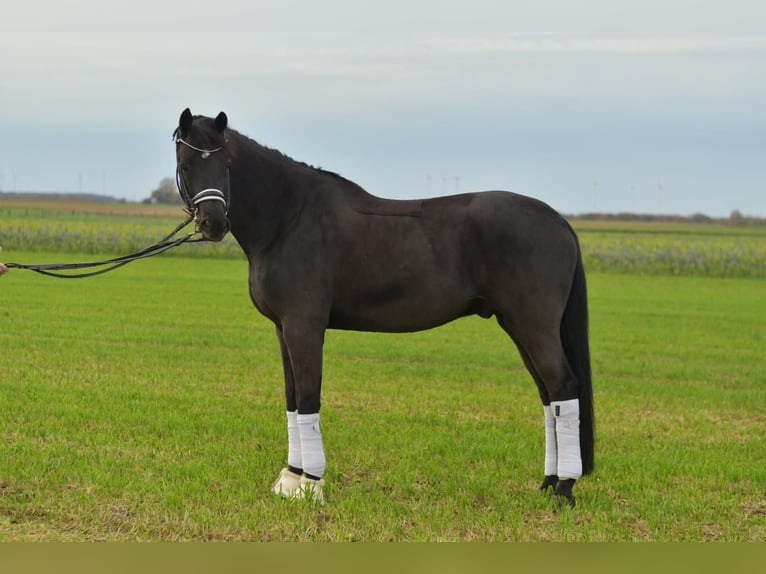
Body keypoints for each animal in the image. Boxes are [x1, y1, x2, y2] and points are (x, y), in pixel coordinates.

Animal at [173, 108, 594, 506]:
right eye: (186, 164)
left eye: (226, 164)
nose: (213, 223)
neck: (289, 217)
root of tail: (558, 221)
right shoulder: (282, 329)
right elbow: (292, 400)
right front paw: (290, 479)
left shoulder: (303, 326)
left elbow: (309, 398)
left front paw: (311, 484)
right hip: (518, 326)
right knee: (548, 395)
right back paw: (548, 482)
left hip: (534, 326)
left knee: (562, 386)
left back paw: (564, 489)